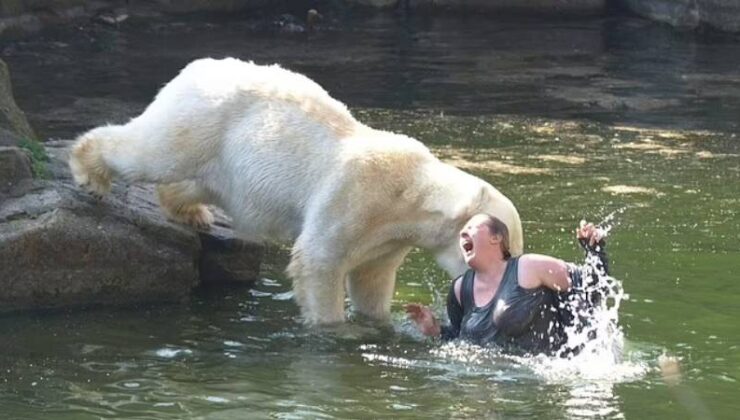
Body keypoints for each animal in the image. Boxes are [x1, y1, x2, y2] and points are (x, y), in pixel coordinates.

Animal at [68, 57, 520, 324]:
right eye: (507, 246)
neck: (410, 194)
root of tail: (195, 67)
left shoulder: (388, 239)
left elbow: (371, 278)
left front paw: (378, 323)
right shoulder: (355, 196)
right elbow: (319, 259)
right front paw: (332, 329)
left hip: (225, 158)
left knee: (199, 181)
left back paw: (191, 211)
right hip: (203, 118)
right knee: (153, 151)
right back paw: (91, 173)